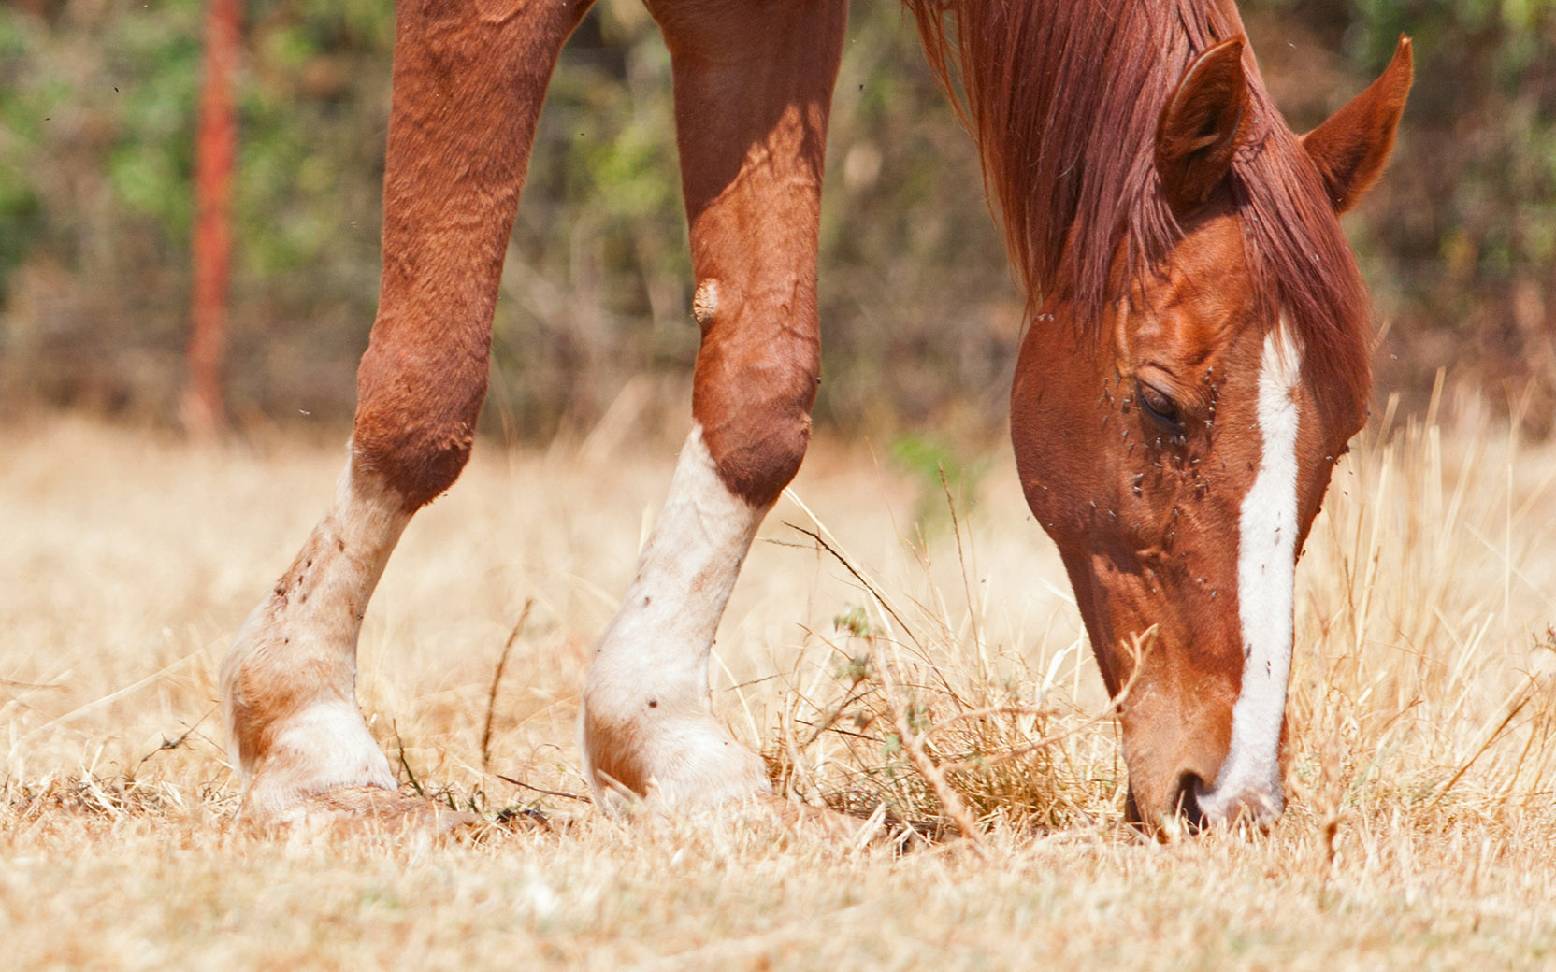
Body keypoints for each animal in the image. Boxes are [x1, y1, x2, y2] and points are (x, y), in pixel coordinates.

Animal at [220, 0, 1412, 833]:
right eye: (1161, 402)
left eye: (1342, 435)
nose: (1230, 796)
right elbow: (426, 388)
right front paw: (307, 737)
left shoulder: (764, 23)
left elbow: (760, 395)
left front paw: (663, 738)